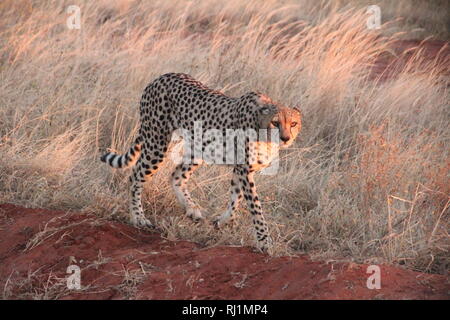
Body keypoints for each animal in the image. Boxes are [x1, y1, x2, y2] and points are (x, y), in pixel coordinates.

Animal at [100, 73, 300, 252]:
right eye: (276, 123)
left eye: (293, 124)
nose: (286, 138)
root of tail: (160, 77)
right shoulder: (244, 169)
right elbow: (255, 207)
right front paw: (264, 241)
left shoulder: (241, 169)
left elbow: (235, 198)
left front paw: (222, 221)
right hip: (157, 144)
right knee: (135, 176)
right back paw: (138, 218)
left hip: (198, 148)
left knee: (177, 175)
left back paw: (191, 209)